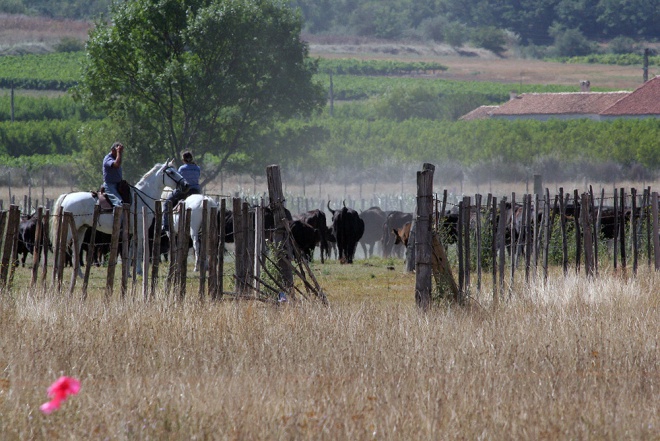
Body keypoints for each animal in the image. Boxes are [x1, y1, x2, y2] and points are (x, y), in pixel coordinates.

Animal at [52, 160, 188, 274]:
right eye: (171, 172)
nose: (186, 184)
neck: (141, 199)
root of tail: (67, 196)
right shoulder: (140, 230)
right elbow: (138, 250)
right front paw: (139, 271)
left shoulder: (132, 232)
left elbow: (130, 251)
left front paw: (128, 273)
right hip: (70, 229)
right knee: (62, 246)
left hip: (81, 229)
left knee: (76, 248)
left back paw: (79, 274)